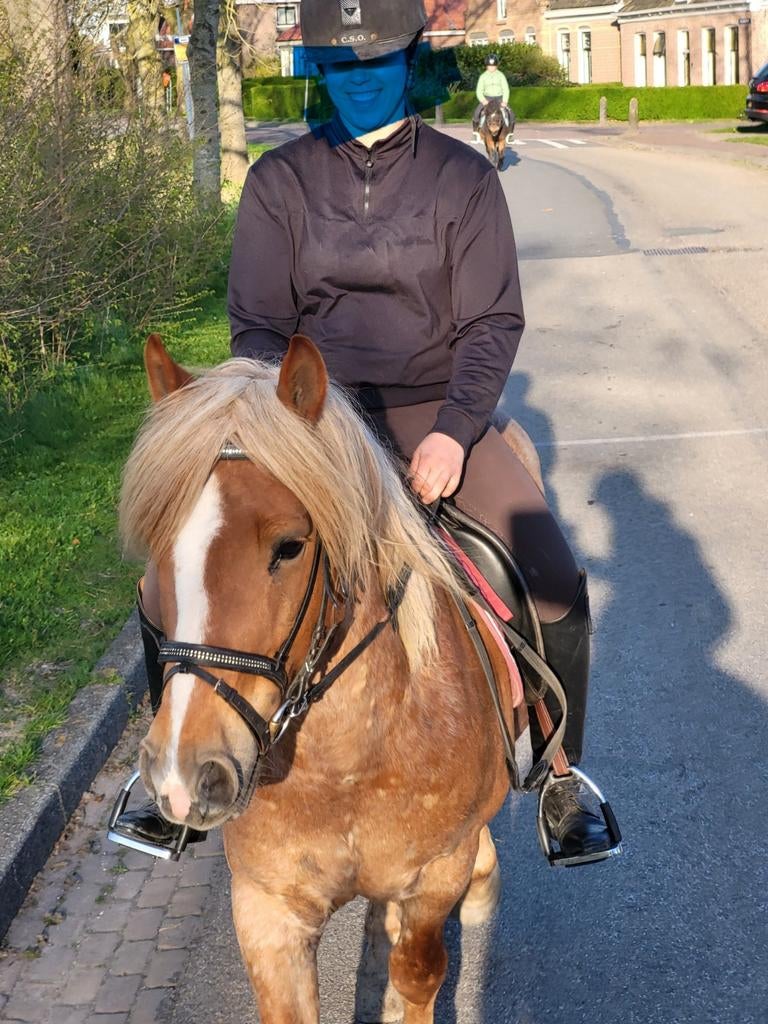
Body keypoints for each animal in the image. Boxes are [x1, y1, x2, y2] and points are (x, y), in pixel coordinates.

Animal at [122, 334, 539, 1024]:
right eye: (157, 548)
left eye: (290, 546)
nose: (187, 775)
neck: (347, 762)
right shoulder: (266, 906)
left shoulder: (435, 876)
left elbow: (419, 975)